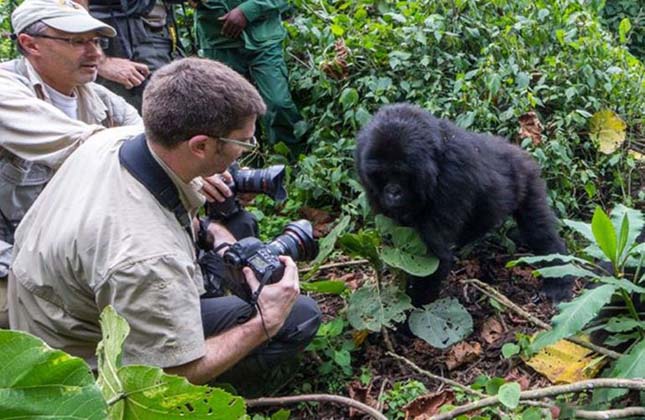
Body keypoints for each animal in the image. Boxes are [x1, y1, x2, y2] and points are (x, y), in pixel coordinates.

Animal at [354, 103, 572, 306]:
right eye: (382, 173)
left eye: (401, 174)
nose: (393, 193)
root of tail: (517, 149)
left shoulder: (453, 177)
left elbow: (432, 259)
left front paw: (412, 313)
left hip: (527, 176)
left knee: (538, 230)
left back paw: (559, 279)